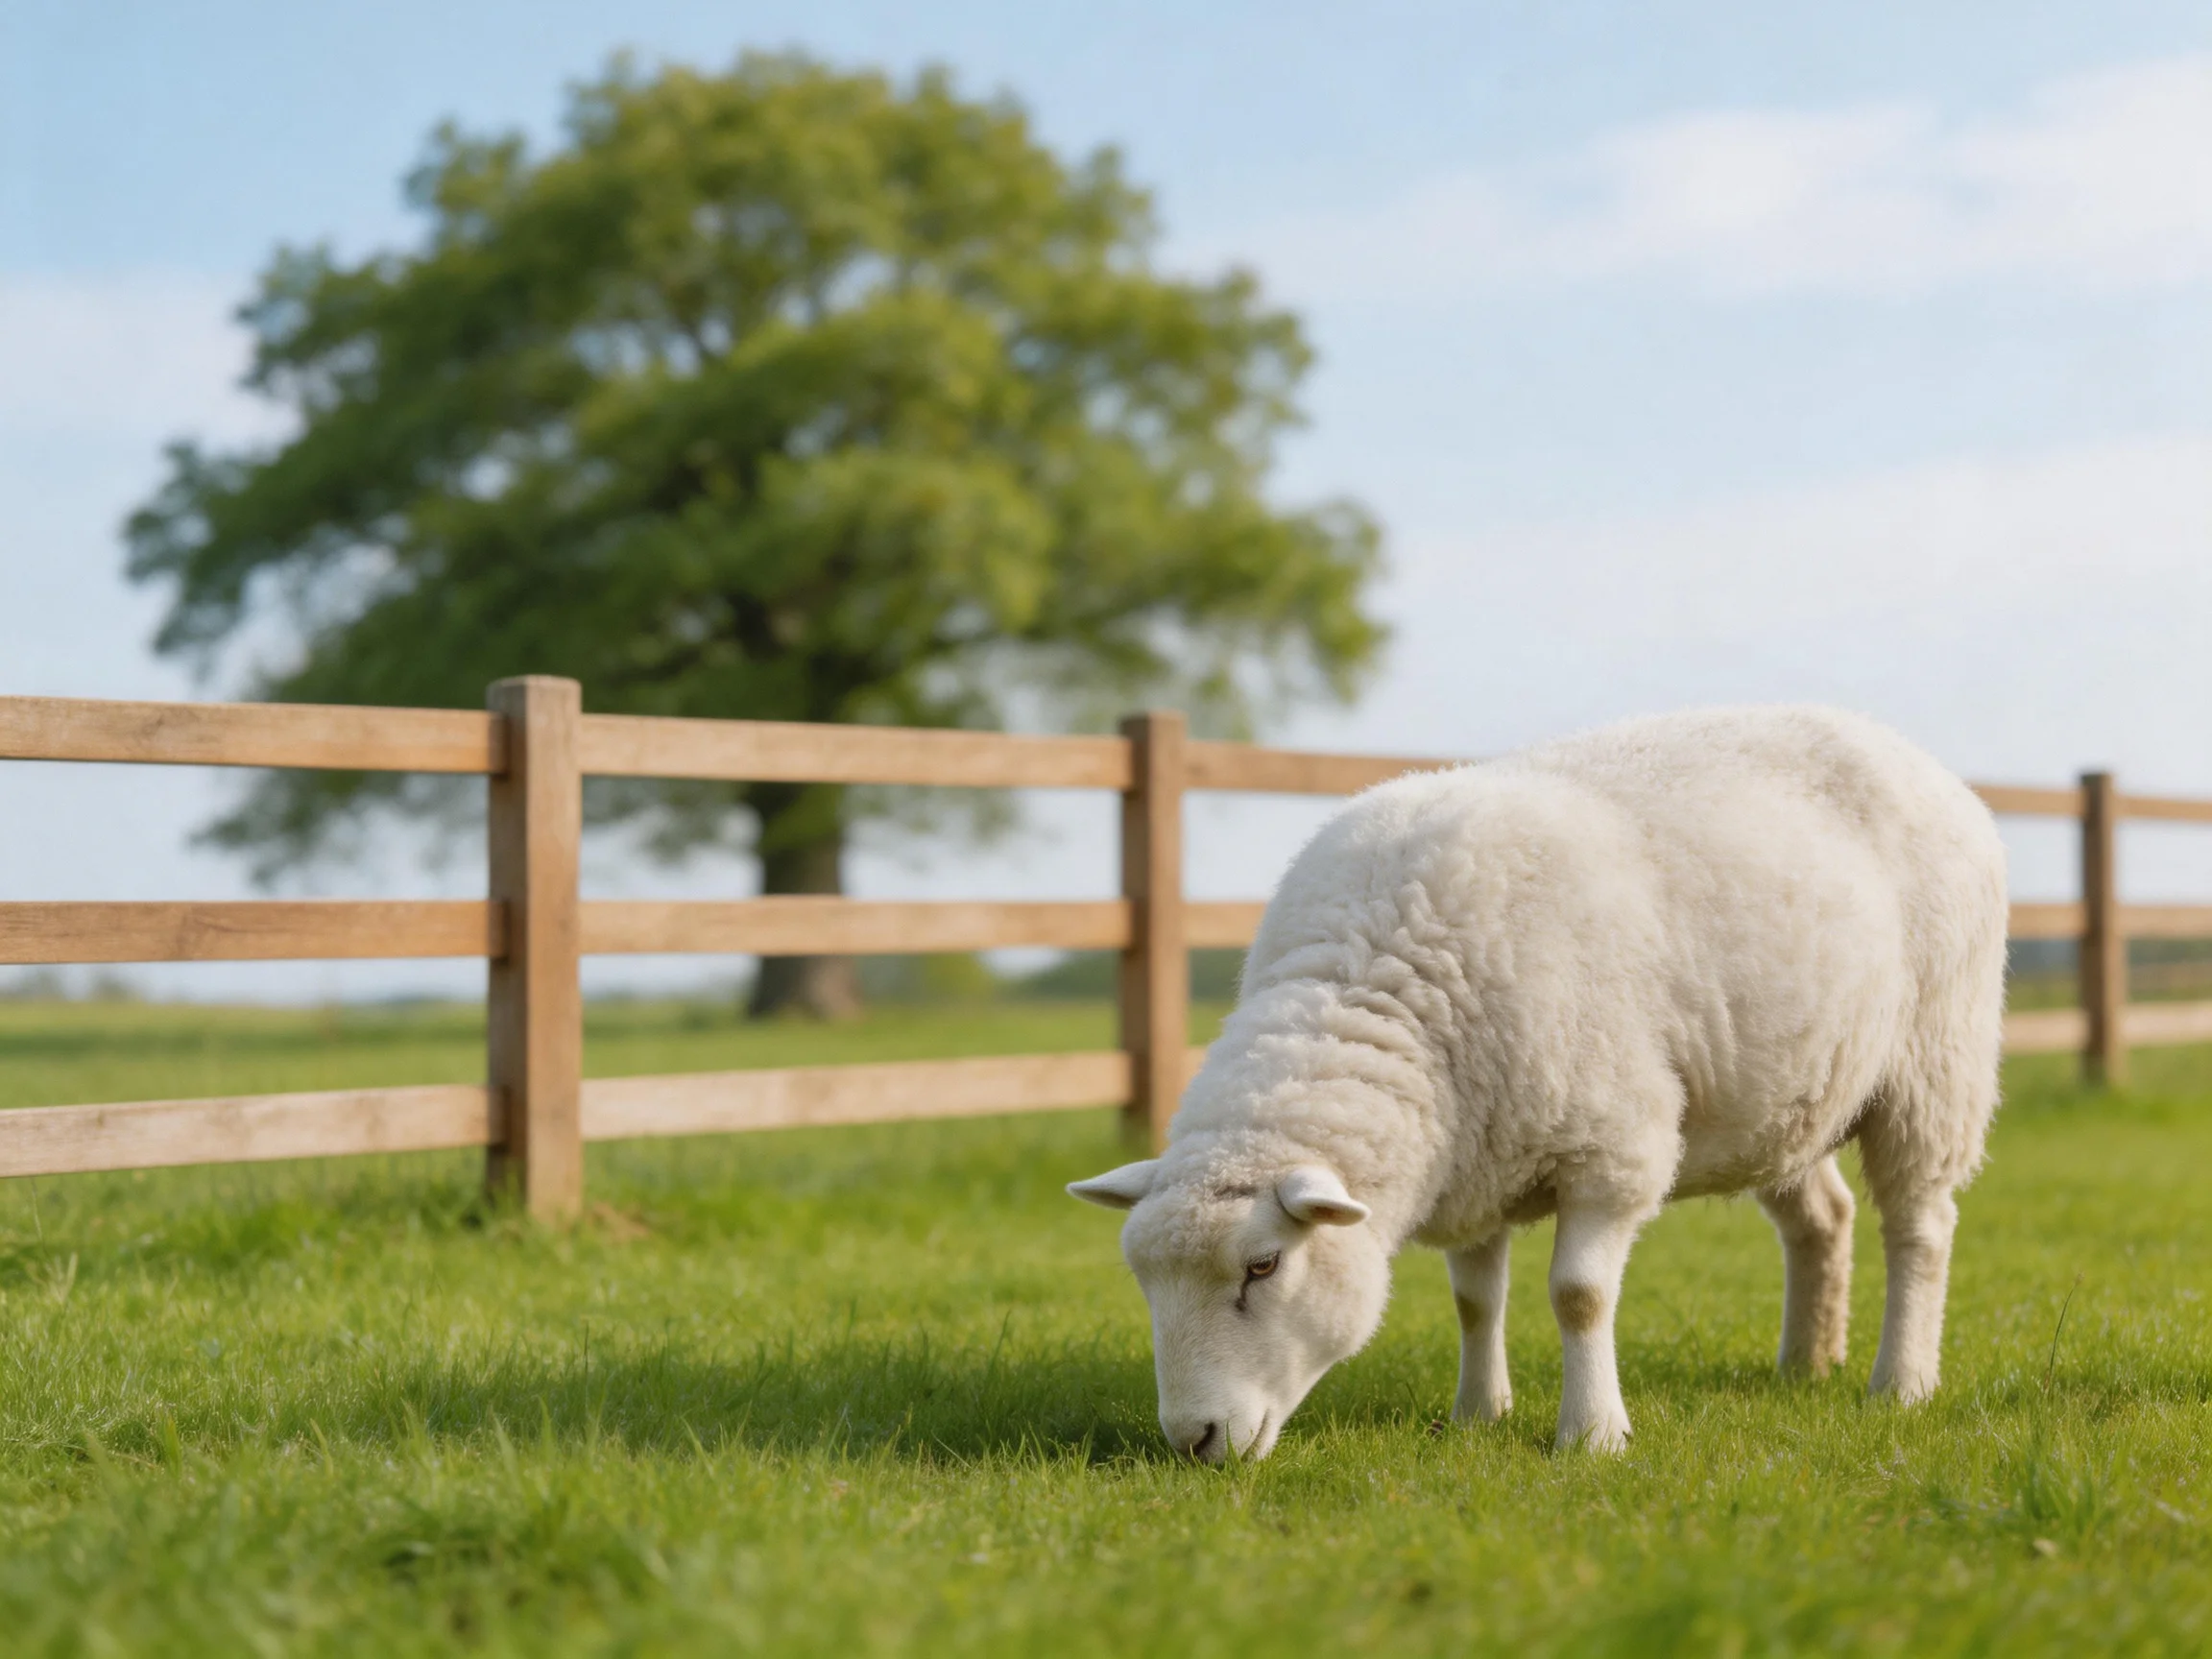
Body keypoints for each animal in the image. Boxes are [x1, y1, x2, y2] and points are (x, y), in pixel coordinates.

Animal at [1071, 705, 2007, 1461]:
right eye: (1144, 1281)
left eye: (1262, 1267)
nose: (1193, 1440)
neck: (1379, 987)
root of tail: (1910, 752)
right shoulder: (1472, 1155)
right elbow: (1474, 1301)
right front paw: (1477, 1414)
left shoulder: (1613, 1146)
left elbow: (1580, 1297)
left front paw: (1592, 1435)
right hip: (1782, 1094)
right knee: (1823, 1219)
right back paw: (1806, 1363)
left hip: (1936, 1064)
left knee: (1920, 1228)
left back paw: (1901, 1382)